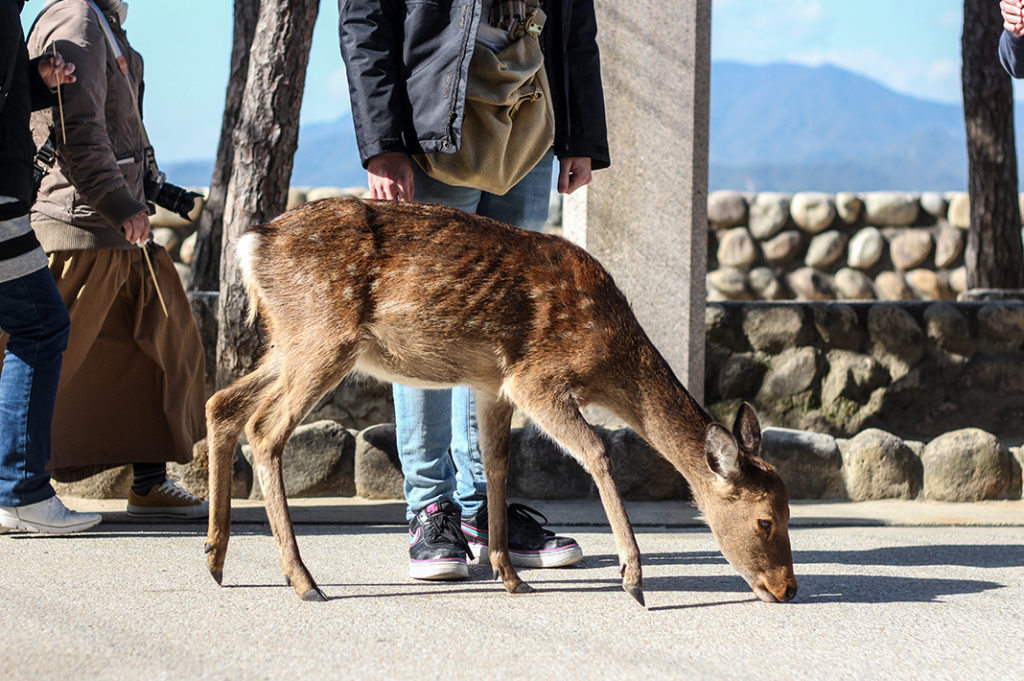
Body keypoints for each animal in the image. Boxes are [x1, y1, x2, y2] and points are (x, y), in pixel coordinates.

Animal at [203, 196, 794, 606]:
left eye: (790, 513)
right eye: (765, 520)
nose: (786, 588)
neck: (606, 355)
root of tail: (251, 245)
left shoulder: (493, 384)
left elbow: (496, 463)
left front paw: (509, 576)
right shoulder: (536, 377)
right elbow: (597, 453)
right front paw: (633, 579)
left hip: (290, 342)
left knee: (222, 403)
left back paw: (215, 559)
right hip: (323, 336)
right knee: (264, 430)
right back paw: (303, 581)